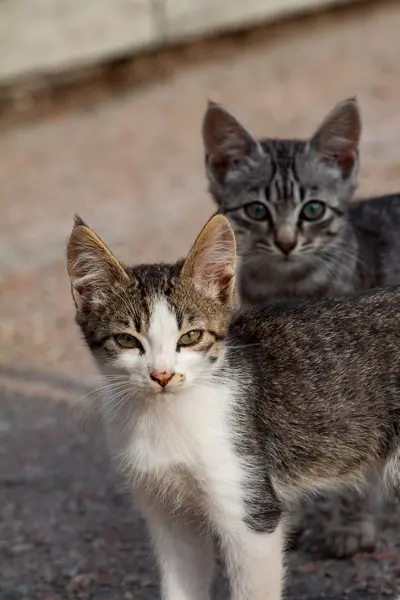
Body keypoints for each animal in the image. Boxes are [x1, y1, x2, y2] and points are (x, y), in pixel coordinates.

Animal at [67, 212, 400, 600]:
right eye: (125, 340)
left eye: (191, 337)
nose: (162, 375)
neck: (168, 417)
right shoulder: (170, 516)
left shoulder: (251, 511)